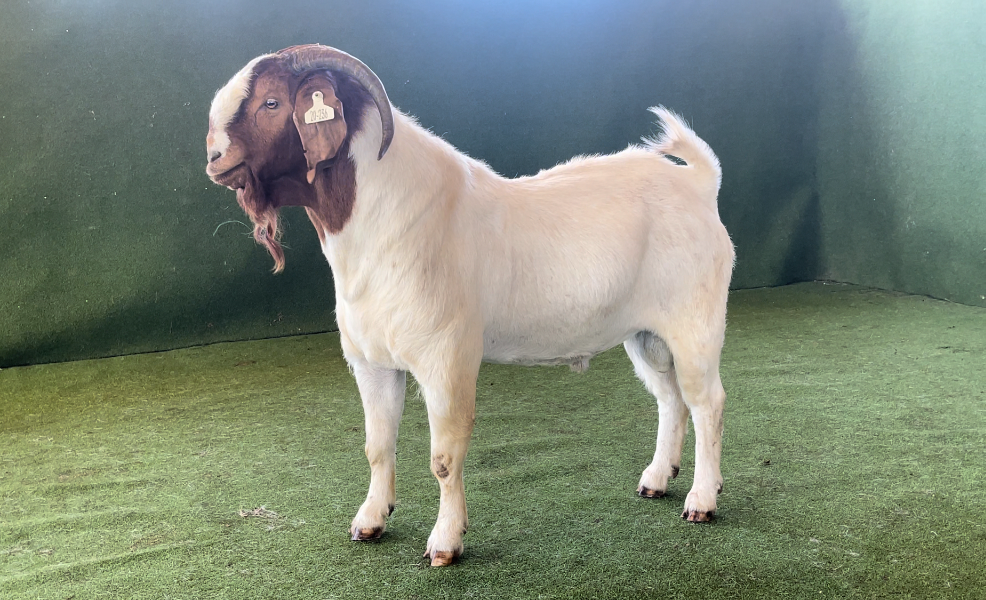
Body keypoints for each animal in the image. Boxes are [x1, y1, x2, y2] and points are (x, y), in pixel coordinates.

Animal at [206, 44, 734, 567]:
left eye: (271, 103)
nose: (213, 158)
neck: (389, 223)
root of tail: (700, 186)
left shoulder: (446, 358)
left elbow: (444, 458)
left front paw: (445, 543)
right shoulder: (371, 360)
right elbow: (377, 445)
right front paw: (370, 521)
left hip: (696, 323)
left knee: (707, 401)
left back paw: (702, 500)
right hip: (646, 335)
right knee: (670, 398)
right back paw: (657, 479)